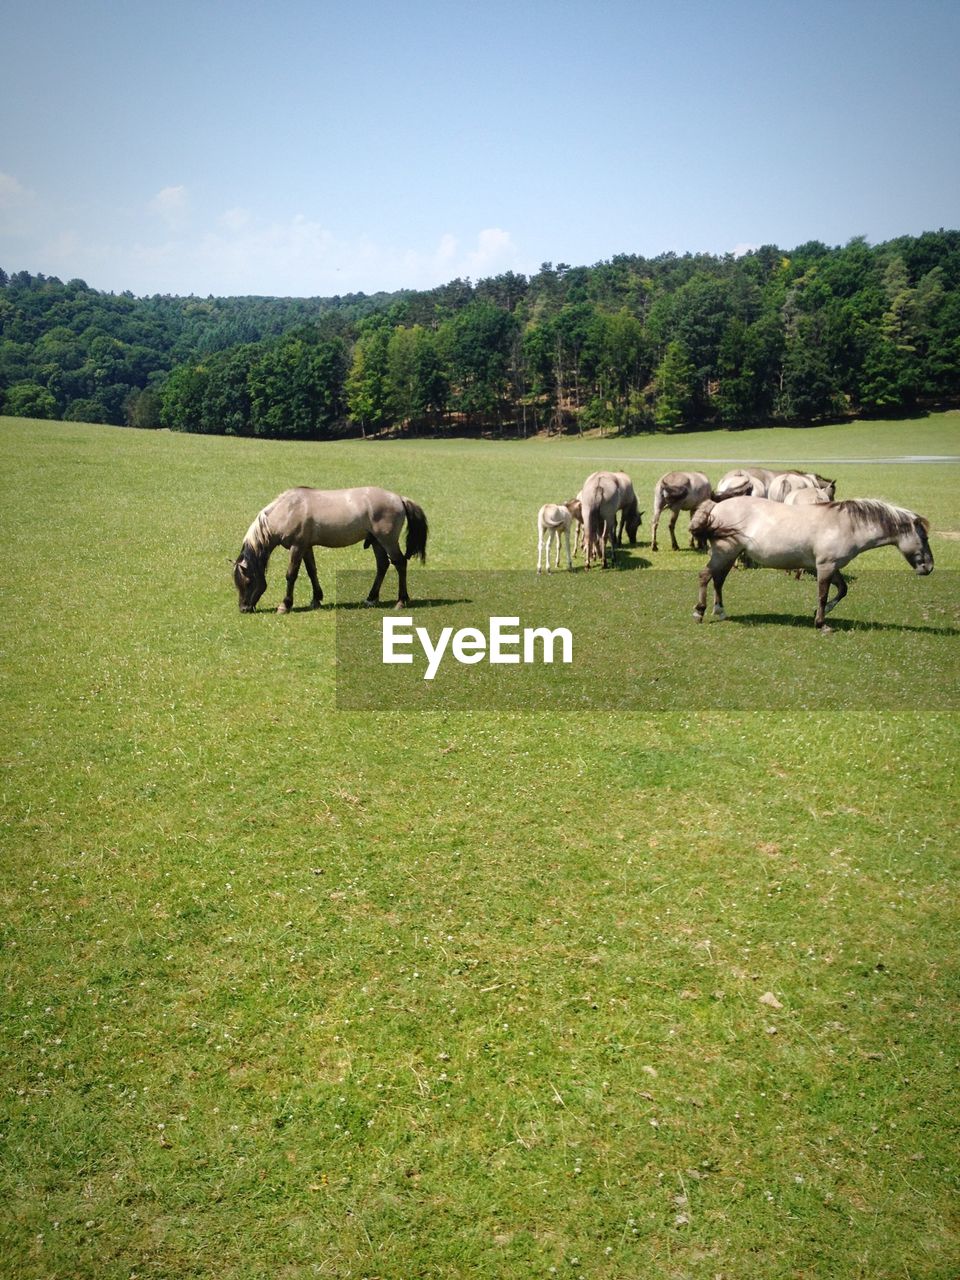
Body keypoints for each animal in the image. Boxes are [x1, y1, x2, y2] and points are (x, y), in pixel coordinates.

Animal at [232, 483, 427, 614]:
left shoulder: (297, 547)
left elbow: (291, 575)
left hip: (387, 540)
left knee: (400, 563)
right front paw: (316, 599)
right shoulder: (306, 547)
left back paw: (401, 601)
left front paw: (285, 605)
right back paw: (371, 599)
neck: (287, 510)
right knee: (382, 565)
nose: (244, 608)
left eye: (248, 582)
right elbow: (312, 571)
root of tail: (399, 498)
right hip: (377, 542)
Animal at [691, 494, 931, 629]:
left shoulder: (830, 566)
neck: (847, 524)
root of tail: (716, 507)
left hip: (729, 555)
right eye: (924, 537)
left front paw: (818, 614)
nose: (928, 567)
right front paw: (822, 623)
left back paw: (720, 611)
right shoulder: (825, 566)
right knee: (705, 576)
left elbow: (842, 590)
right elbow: (823, 595)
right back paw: (699, 612)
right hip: (724, 553)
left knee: (718, 580)